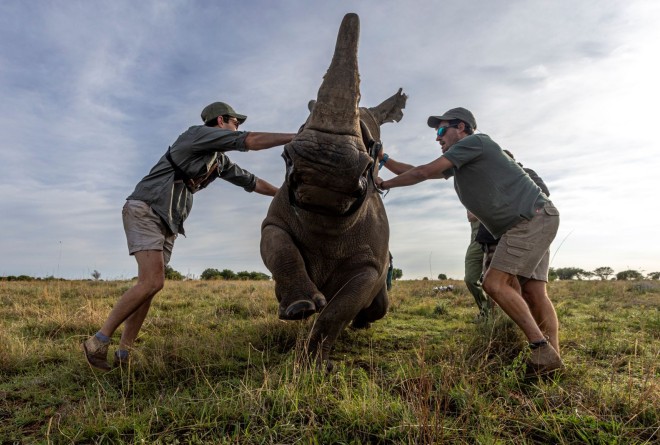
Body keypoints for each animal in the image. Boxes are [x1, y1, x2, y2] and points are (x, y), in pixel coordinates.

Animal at [260, 13, 406, 368]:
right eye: (300, 129)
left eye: (374, 149)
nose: (325, 163)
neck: (324, 216)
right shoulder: (274, 221)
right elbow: (280, 248)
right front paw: (299, 307)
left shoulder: (372, 266)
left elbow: (339, 310)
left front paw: (313, 365)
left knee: (378, 307)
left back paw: (362, 323)